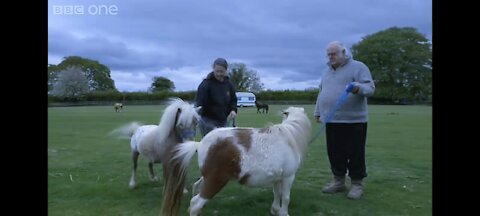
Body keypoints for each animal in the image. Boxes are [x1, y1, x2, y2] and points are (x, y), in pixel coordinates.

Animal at [161, 106, 312, 216]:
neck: (288, 138)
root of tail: (200, 144)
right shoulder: (288, 177)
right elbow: (286, 197)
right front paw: (283, 213)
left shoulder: (278, 178)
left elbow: (277, 194)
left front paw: (275, 210)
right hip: (216, 181)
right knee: (196, 203)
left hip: (207, 178)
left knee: (196, 189)